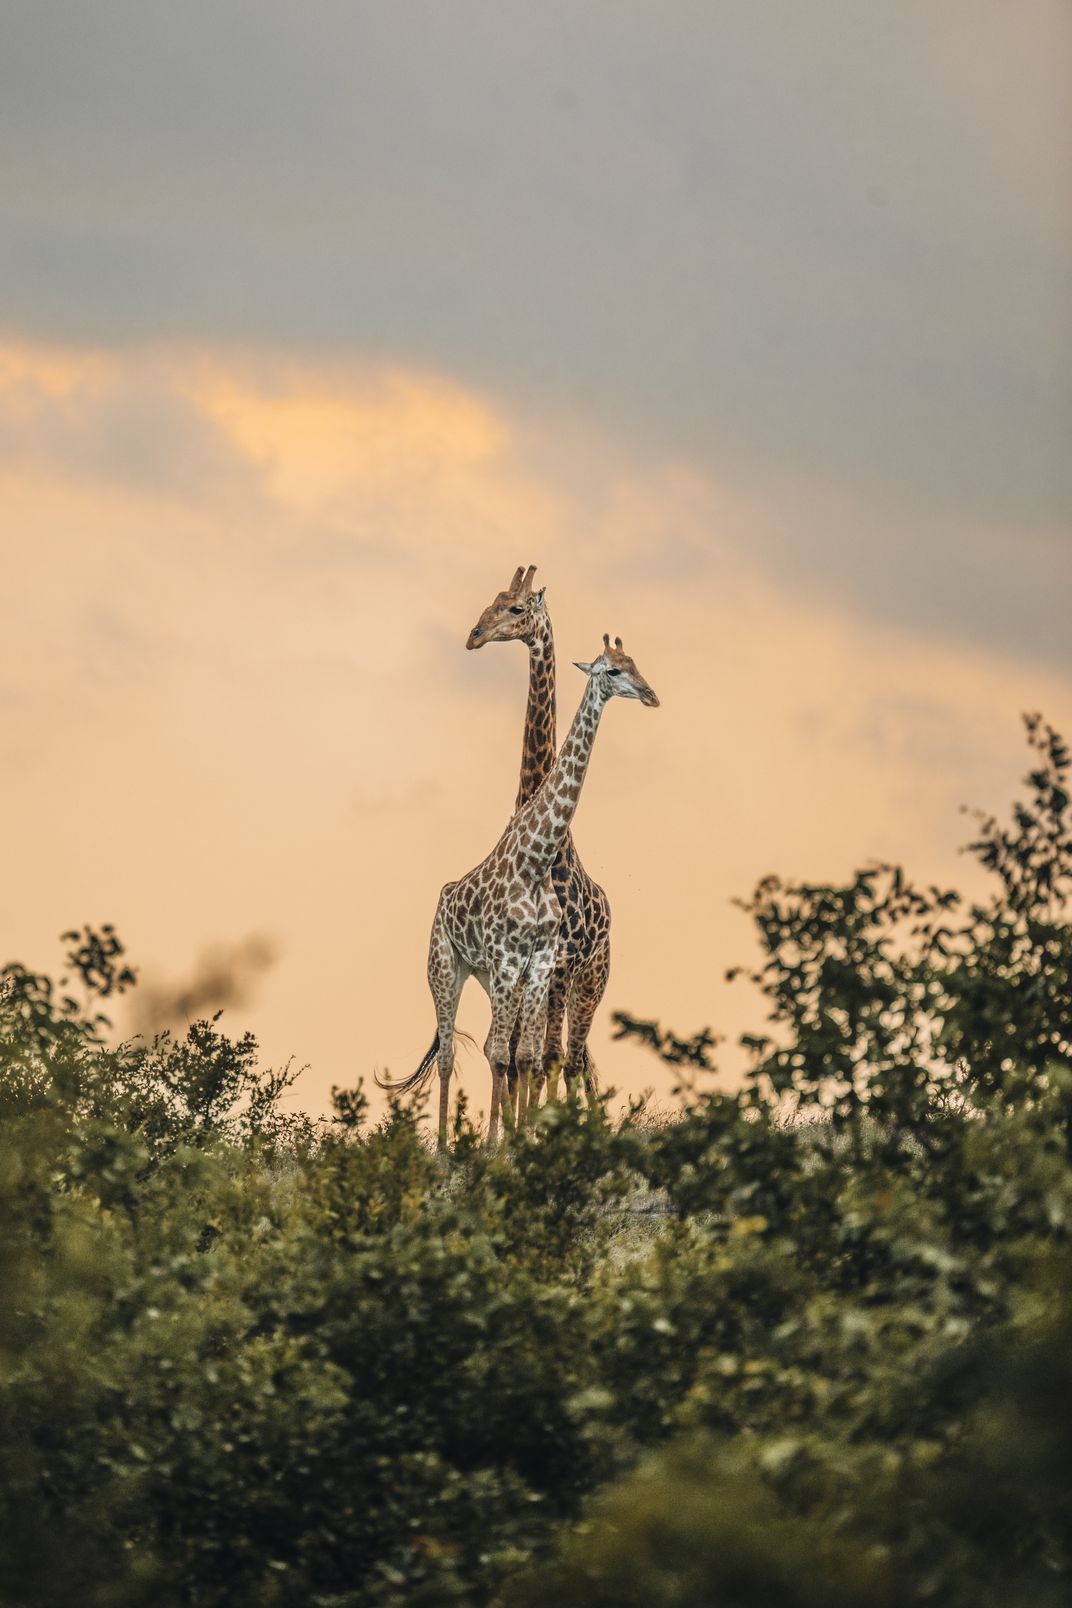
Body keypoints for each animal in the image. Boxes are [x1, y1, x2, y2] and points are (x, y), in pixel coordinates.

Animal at [377, 630, 662, 1144]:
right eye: (612, 670)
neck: (537, 861)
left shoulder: (541, 963)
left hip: (533, 977)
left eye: (636, 663)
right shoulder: (513, 962)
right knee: (452, 1053)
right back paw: (447, 1146)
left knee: (556, 1056)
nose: (651, 695)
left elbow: (527, 1055)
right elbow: (504, 1054)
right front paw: (500, 1142)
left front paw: (524, 1137)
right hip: (444, 967)